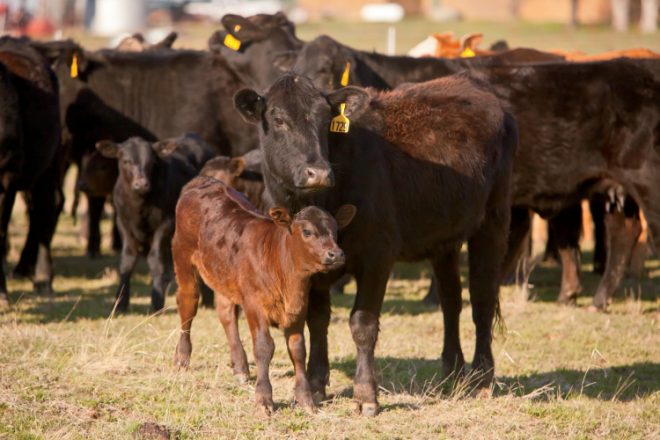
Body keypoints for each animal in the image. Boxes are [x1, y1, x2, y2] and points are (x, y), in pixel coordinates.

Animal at [96, 134, 215, 312]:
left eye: (151, 162)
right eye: (126, 161)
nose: (141, 184)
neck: (139, 207)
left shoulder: (165, 224)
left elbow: (155, 259)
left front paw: (157, 302)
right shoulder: (123, 224)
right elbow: (127, 261)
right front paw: (121, 302)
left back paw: (208, 301)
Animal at [172, 176, 356, 415]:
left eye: (335, 231)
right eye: (306, 232)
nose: (336, 254)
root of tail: (204, 180)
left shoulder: (298, 309)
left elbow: (298, 350)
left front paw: (305, 399)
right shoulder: (254, 304)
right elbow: (264, 347)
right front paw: (264, 399)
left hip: (224, 275)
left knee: (226, 314)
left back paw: (240, 368)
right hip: (183, 259)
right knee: (188, 304)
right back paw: (181, 358)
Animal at [234, 73, 518, 415]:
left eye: (325, 119)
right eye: (278, 119)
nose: (319, 172)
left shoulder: (377, 257)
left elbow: (363, 324)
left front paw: (366, 395)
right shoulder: (307, 267)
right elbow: (318, 319)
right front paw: (316, 384)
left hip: (493, 221)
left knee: (482, 298)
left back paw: (482, 376)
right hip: (444, 240)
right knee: (452, 299)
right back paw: (451, 370)